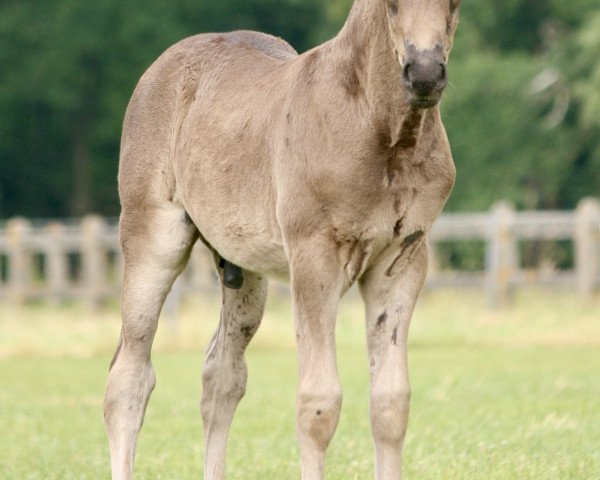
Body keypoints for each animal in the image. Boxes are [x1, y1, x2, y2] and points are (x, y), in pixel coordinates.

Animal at [104, 0, 460, 480]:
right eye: (390, 5)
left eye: (455, 5)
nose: (423, 74)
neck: (384, 135)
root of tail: (159, 68)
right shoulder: (313, 258)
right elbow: (318, 405)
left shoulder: (400, 262)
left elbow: (390, 404)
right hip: (153, 239)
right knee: (128, 378)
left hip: (243, 269)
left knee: (222, 377)